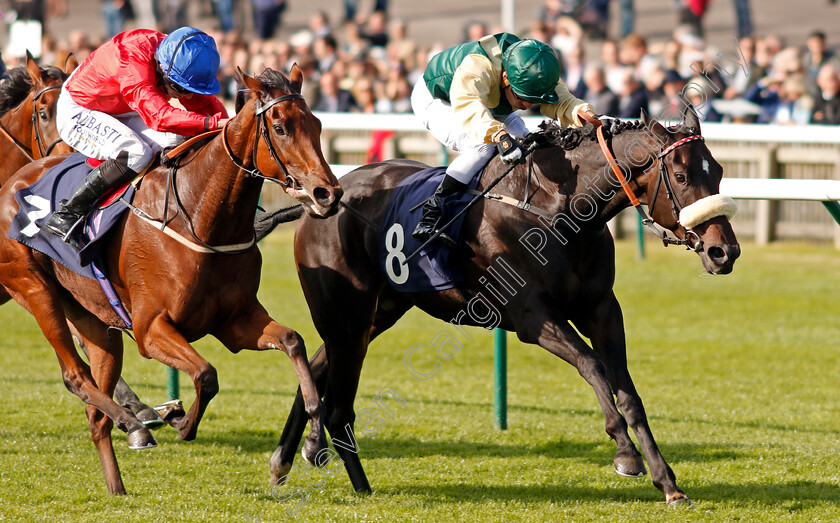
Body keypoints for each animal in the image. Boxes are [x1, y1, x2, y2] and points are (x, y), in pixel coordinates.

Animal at [0, 65, 342, 496]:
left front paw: (311, 444)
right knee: (75, 376)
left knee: (96, 413)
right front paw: (178, 419)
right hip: (34, 289)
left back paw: (118, 483)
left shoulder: (236, 323)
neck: (202, 217)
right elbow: (206, 375)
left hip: (96, 322)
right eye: (280, 128)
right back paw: (135, 423)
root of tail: (11, 183)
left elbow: (293, 342)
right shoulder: (151, 330)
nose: (327, 192)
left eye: (316, 124)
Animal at [266, 107, 740, 508]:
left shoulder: (603, 311)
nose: (725, 251)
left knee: (319, 364)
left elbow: (628, 392)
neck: (557, 207)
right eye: (680, 175)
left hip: (376, 313)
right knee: (334, 391)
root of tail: (320, 196)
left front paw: (668, 482)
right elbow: (593, 367)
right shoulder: (534, 317)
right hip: (347, 312)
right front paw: (625, 454)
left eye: (717, 171)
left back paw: (288, 459)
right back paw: (346, 475)